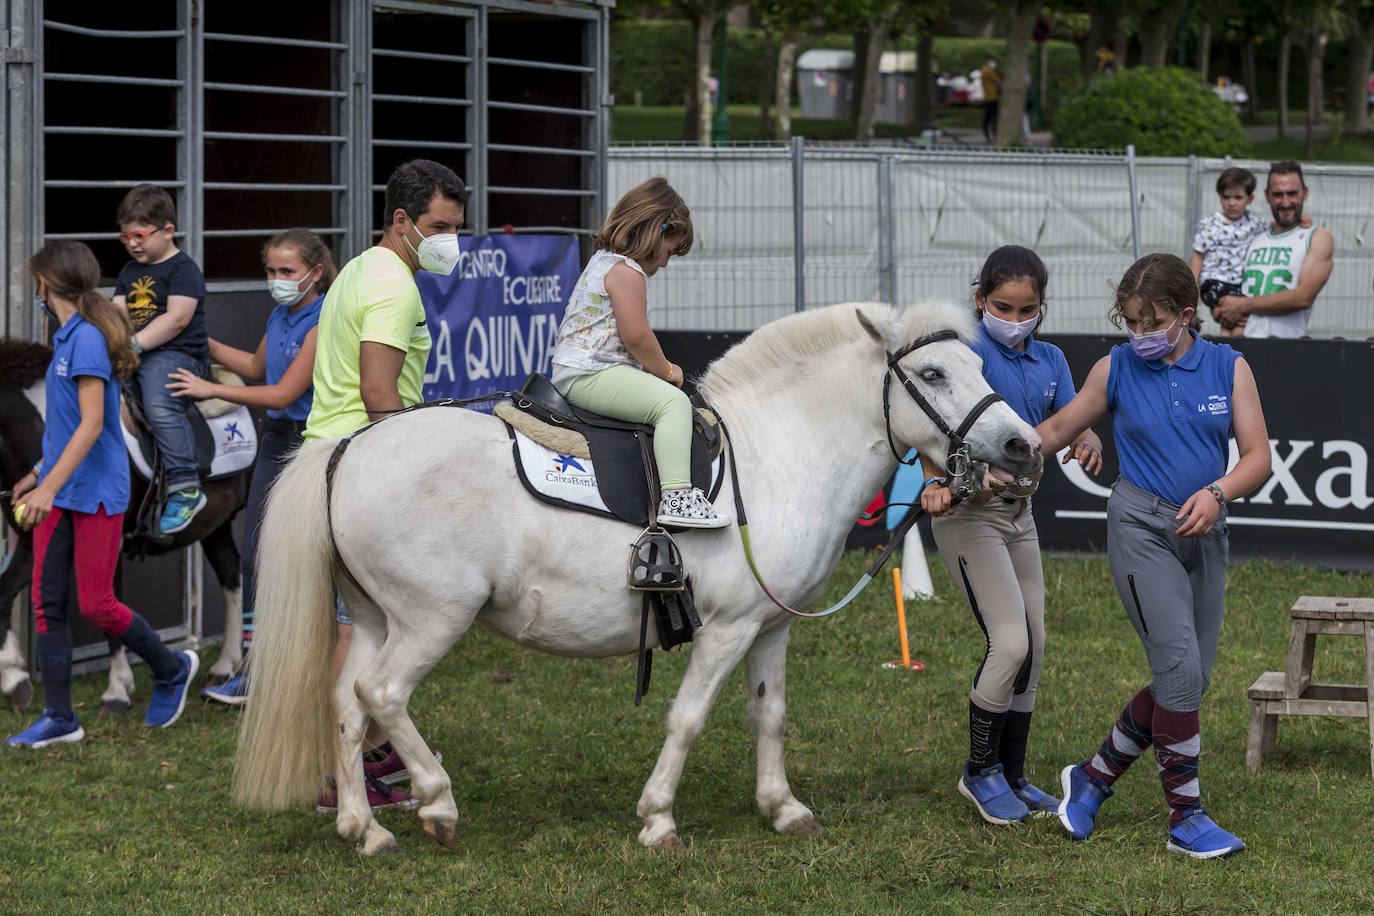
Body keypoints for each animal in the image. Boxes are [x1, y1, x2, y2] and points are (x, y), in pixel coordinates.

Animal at [233, 300, 1038, 851]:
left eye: (979, 369)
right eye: (933, 373)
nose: (1022, 445)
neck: (778, 453)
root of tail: (347, 448)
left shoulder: (770, 628)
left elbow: (771, 715)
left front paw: (782, 808)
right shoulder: (727, 630)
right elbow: (687, 719)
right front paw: (657, 818)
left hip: (376, 618)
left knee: (345, 704)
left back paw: (364, 829)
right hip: (431, 620)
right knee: (382, 695)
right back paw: (435, 799)